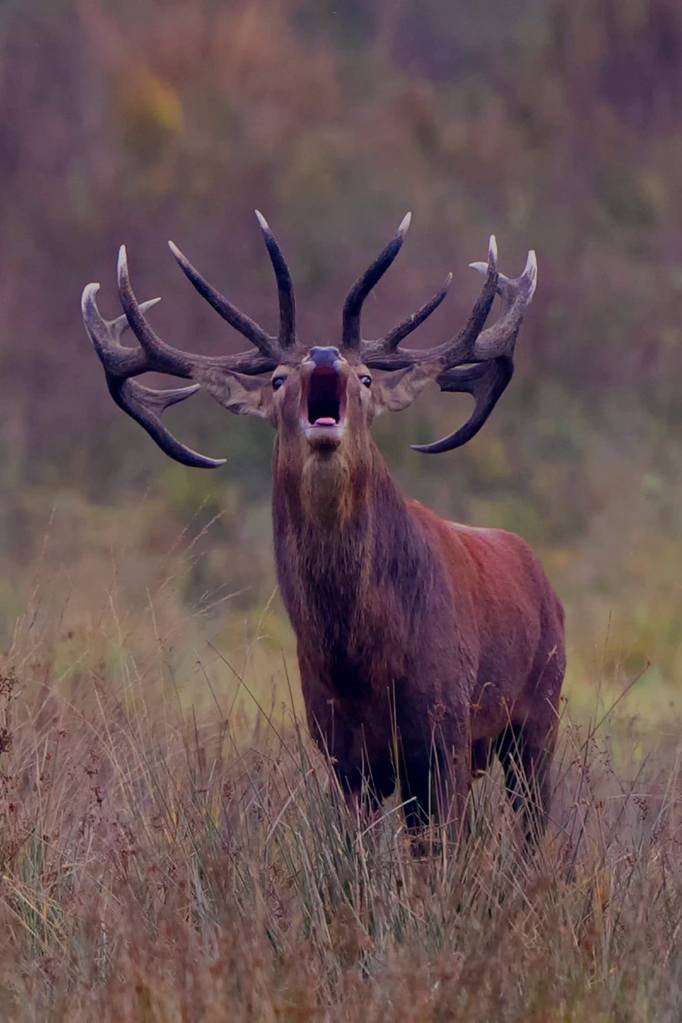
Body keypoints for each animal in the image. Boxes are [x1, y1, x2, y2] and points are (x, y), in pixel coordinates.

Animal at [82, 212, 565, 844]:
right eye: (278, 379)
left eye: (366, 378)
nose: (324, 352)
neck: (358, 660)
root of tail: (543, 580)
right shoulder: (340, 749)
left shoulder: (445, 727)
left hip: (540, 715)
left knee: (535, 831)